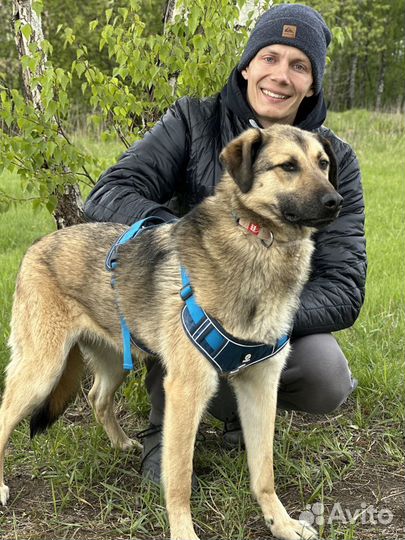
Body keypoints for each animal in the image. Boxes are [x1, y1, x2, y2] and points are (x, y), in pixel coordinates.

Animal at [0, 125, 340, 540]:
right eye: (288, 166)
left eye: (322, 164)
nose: (336, 201)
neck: (259, 242)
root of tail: (36, 246)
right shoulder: (186, 391)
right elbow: (179, 479)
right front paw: (183, 532)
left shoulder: (260, 386)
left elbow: (264, 472)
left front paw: (283, 524)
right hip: (41, 369)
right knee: (4, 416)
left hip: (114, 359)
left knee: (97, 397)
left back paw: (121, 443)